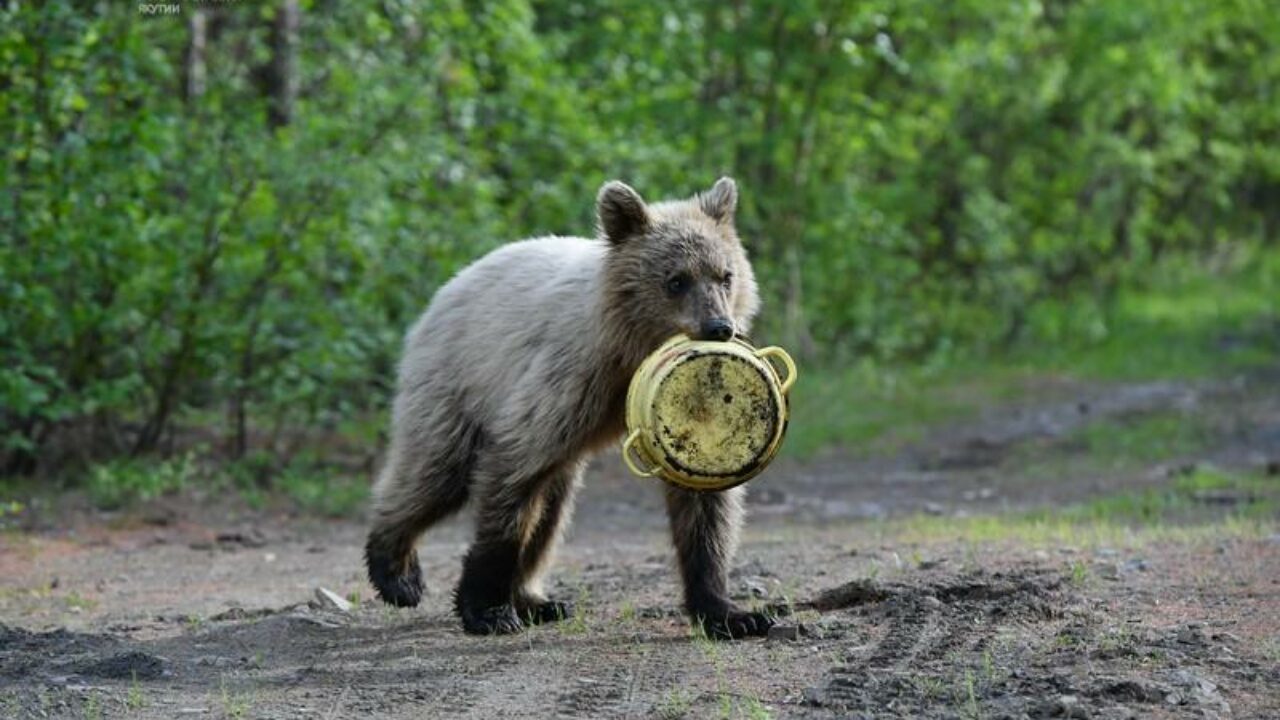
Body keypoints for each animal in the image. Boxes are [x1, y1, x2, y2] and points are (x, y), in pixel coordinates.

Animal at [366, 176, 773, 635]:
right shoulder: (569, 380)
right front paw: (488, 608)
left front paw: (732, 613)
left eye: (725, 275)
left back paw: (536, 600)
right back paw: (397, 574)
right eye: (676, 280)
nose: (719, 327)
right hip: (456, 383)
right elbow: (513, 477)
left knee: (550, 508)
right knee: (436, 473)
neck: (631, 350)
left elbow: (706, 509)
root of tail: (445, 290)